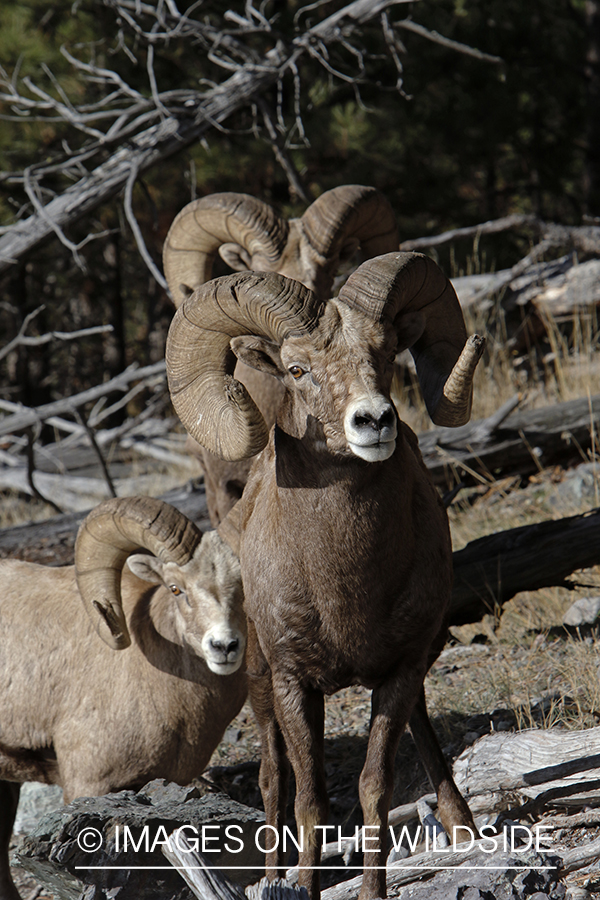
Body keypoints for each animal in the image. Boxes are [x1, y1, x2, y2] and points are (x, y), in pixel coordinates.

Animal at [166, 248, 486, 900]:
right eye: (296, 369)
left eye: (386, 354)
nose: (374, 421)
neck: (344, 587)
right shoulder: (293, 683)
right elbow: (309, 800)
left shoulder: (401, 670)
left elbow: (374, 786)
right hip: (259, 686)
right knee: (272, 782)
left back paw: (462, 827)